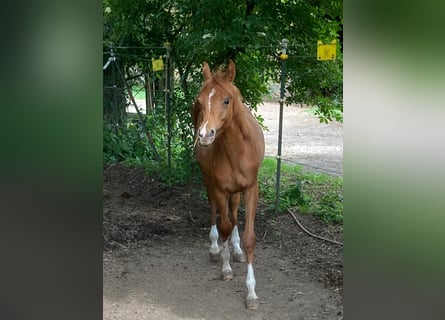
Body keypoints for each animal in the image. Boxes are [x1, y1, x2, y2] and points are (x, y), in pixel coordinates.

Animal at [192, 60, 264, 310]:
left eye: (226, 100)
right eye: (200, 100)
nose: (205, 135)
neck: (237, 151)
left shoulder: (251, 189)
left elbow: (249, 237)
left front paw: (251, 293)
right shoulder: (219, 188)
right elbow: (223, 224)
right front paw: (225, 267)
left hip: (237, 192)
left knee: (233, 212)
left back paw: (236, 249)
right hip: (209, 182)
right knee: (217, 212)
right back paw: (215, 247)